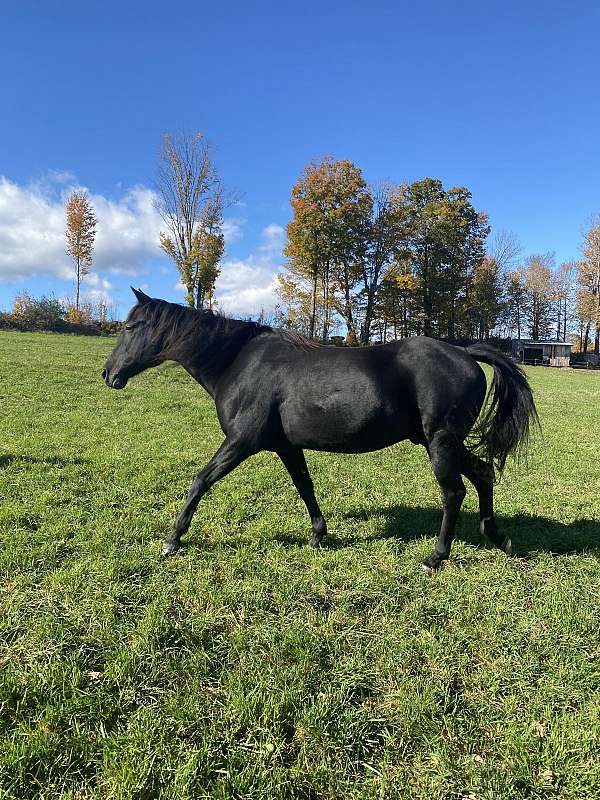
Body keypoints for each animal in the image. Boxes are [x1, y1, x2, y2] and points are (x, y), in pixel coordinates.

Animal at [103, 288, 540, 568]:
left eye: (130, 326)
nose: (109, 374)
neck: (239, 363)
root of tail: (464, 352)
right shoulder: (285, 446)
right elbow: (305, 486)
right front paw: (317, 535)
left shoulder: (241, 441)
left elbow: (201, 481)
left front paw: (172, 540)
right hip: (442, 442)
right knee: (483, 473)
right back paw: (499, 538)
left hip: (440, 442)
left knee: (454, 492)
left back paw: (436, 557)